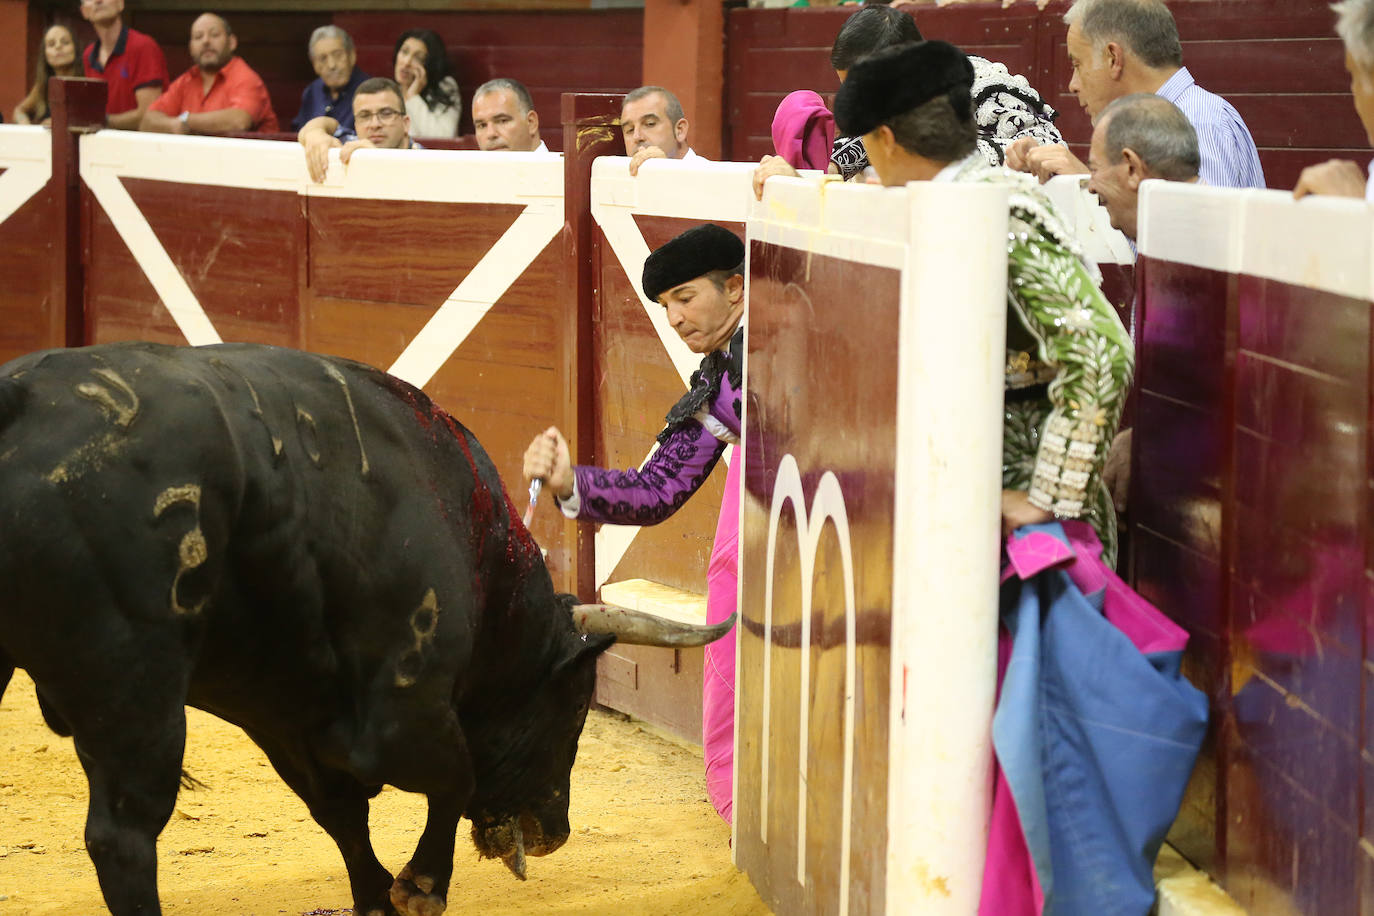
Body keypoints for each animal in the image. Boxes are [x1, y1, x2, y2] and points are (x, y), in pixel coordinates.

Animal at [0, 341, 730, 916]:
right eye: (576, 704)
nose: (556, 830)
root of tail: (19, 401)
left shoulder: (285, 715)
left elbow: (341, 811)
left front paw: (378, 896)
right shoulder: (405, 700)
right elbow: (454, 776)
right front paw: (421, 887)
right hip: (133, 689)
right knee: (122, 838)